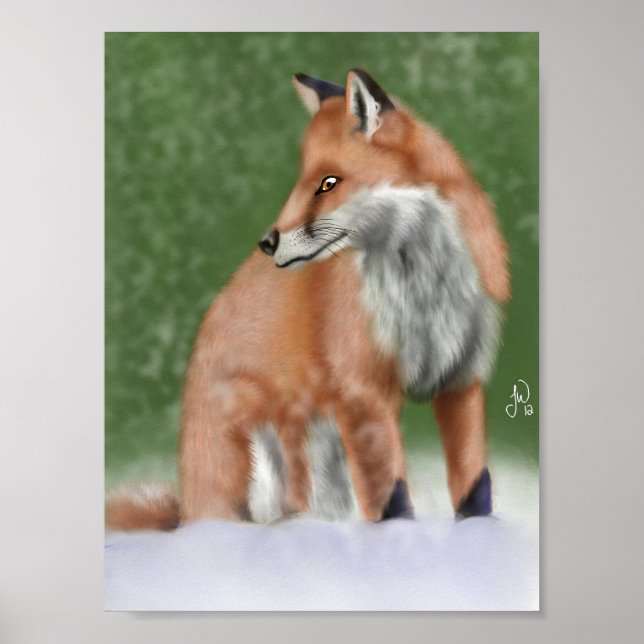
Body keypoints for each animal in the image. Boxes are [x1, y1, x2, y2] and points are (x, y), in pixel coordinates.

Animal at [106, 69, 509, 530]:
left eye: (328, 182)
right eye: (303, 178)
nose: (266, 243)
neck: (423, 289)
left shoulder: (461, 379)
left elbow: (474, 485)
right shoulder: (364, 394)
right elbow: (391, 500)